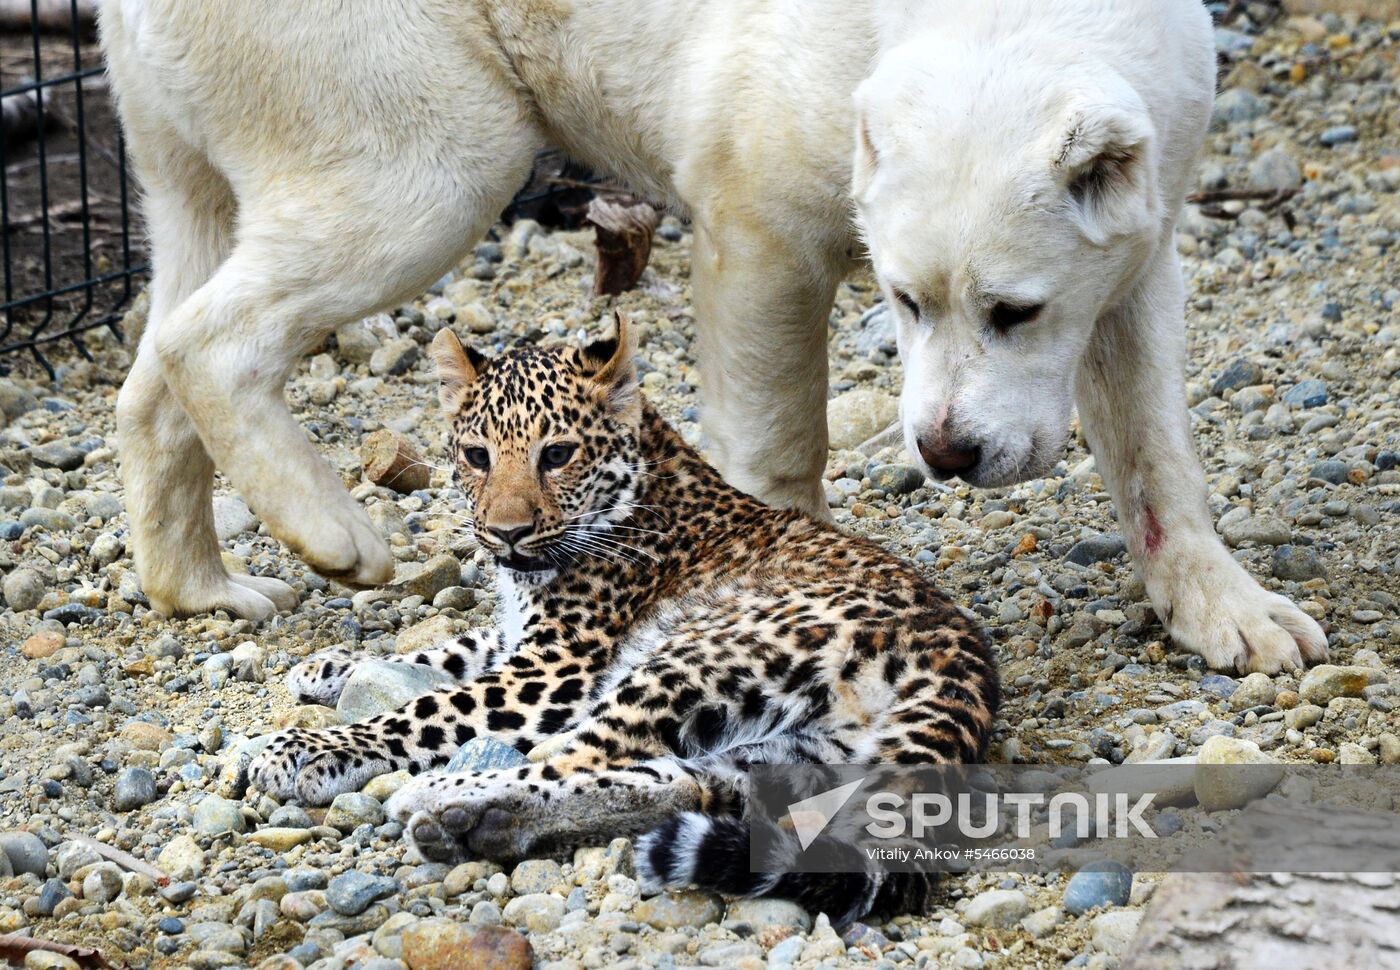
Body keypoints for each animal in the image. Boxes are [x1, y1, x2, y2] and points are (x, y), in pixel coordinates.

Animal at [103, 0, 1327, 669]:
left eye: (1015, 313)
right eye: (904, 301)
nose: (944, 453)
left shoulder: (1141, 245)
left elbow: (1157, 449)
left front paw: (1225, 609)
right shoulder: (760, 230)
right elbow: (779, 438)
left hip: (189, 165)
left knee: (152, 372)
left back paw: (200, 588)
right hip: (426, 158)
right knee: (209, 342)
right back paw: (334, 533)